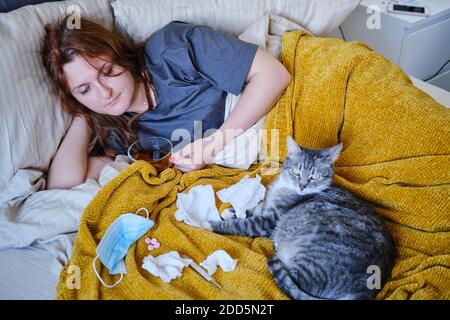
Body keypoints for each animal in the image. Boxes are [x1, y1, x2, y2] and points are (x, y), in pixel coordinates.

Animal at [202, 136, 396, 300]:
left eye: (315, 176)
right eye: (296, 171)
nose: (302, 186)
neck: (285, 188)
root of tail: (365, 290)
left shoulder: (268, 221)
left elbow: (240, 224)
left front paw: (209, 223)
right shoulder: (267, 208)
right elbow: (252, 209)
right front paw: (230, 211)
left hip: (311, 260)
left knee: (291, 281)